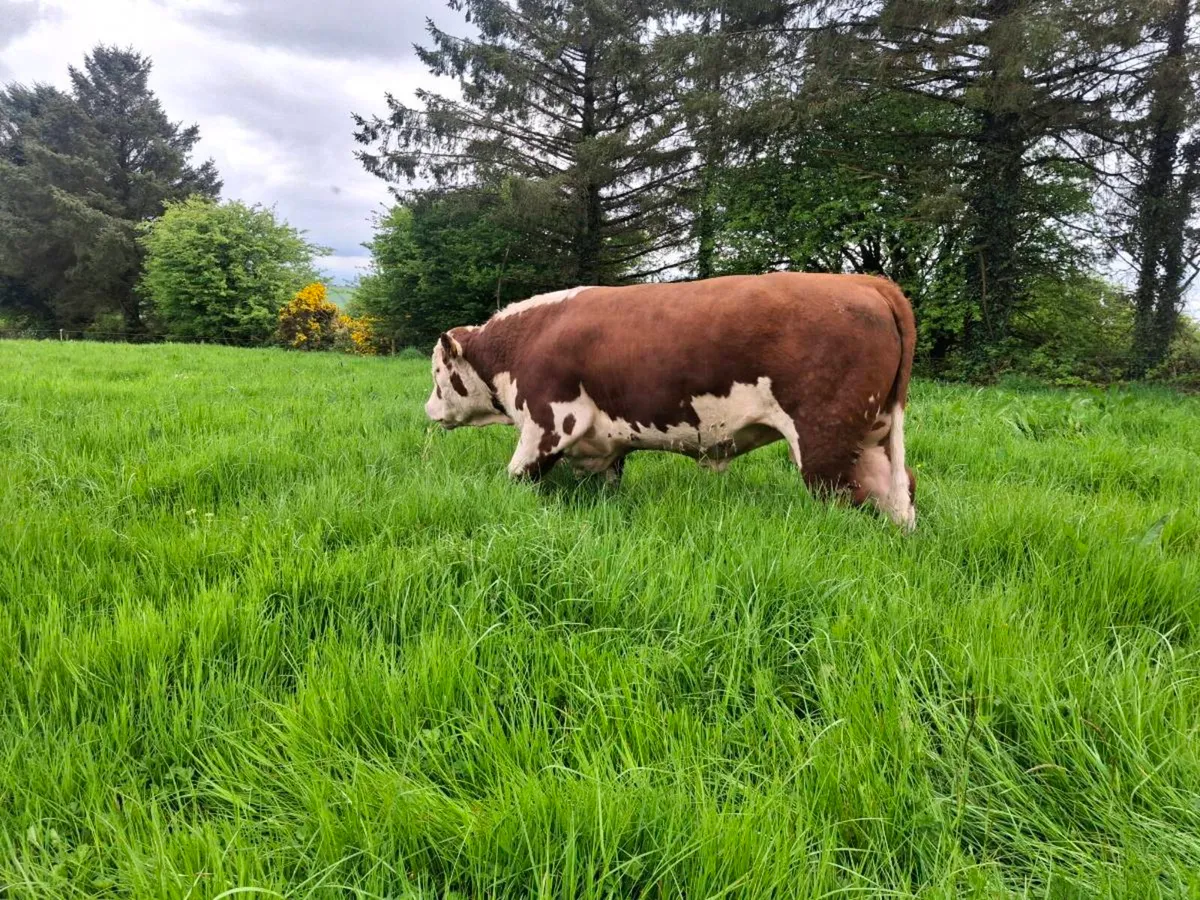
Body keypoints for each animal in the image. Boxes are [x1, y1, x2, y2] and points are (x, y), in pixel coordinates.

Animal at [424, 272, 918, 529]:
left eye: (437, 374)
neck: (525, 340)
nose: (428, 409)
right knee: (899, 495)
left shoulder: (549, 422)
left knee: (848, 502)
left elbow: (516, 477)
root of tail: (865, 283)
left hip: (825, 443)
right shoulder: (602, 444)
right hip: (872, 437)